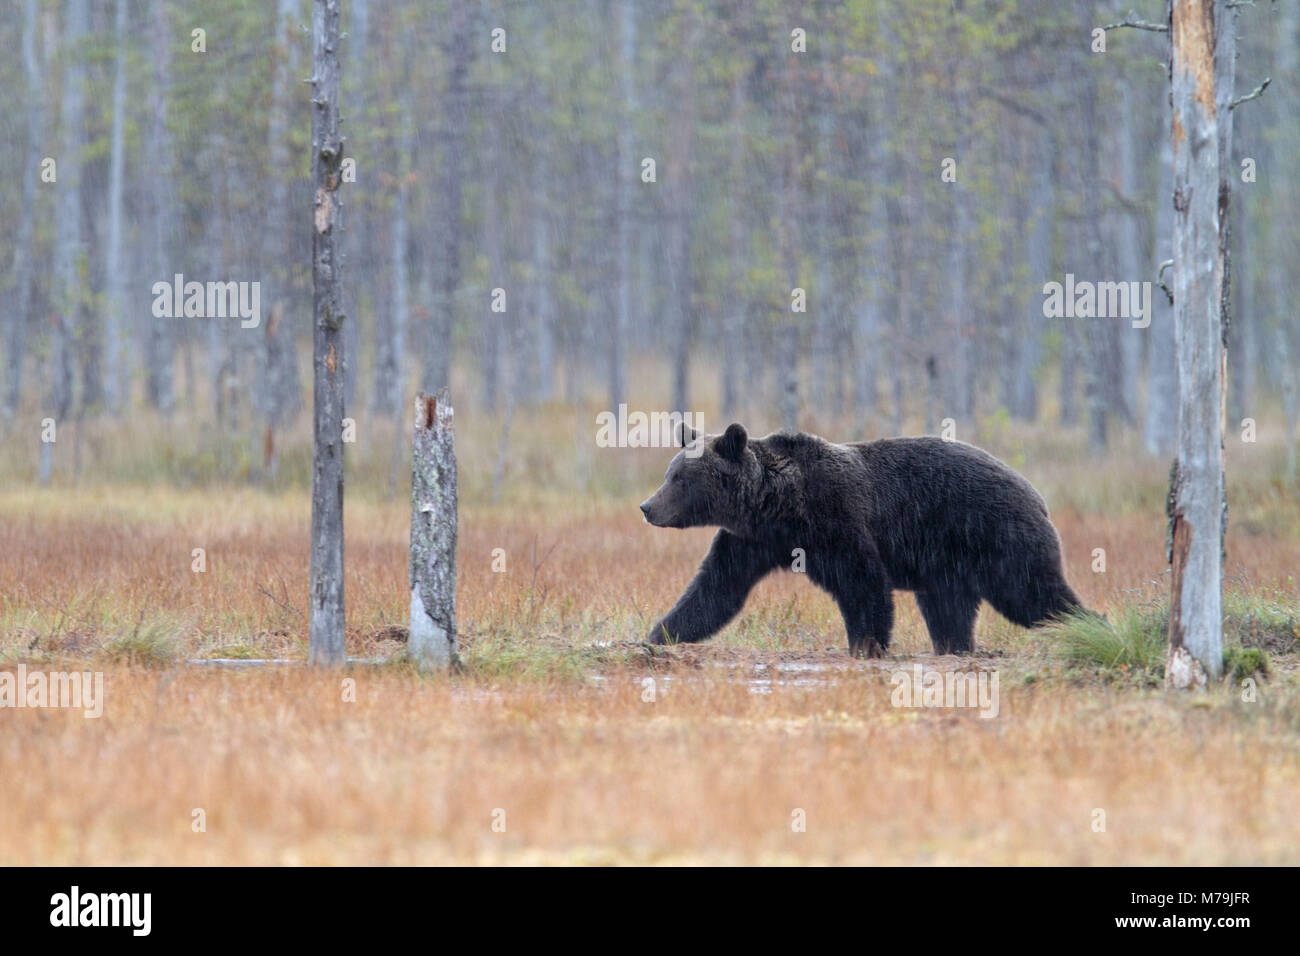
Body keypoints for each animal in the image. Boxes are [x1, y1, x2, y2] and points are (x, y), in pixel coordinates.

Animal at [642, 426, 1086, 658]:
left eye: (679, 479)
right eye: (669, 473)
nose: (647, 506)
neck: (776, 506)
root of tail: (1036, 494)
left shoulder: (834, 519)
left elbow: (864, 584)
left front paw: (866, 647)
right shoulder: (751, 541)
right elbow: (714, 590)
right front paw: (660, 635)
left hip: (994, 534)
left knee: (1034, 593)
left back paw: (1084, 629)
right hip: (948, 565)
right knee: (949, 611)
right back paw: (954, 649)